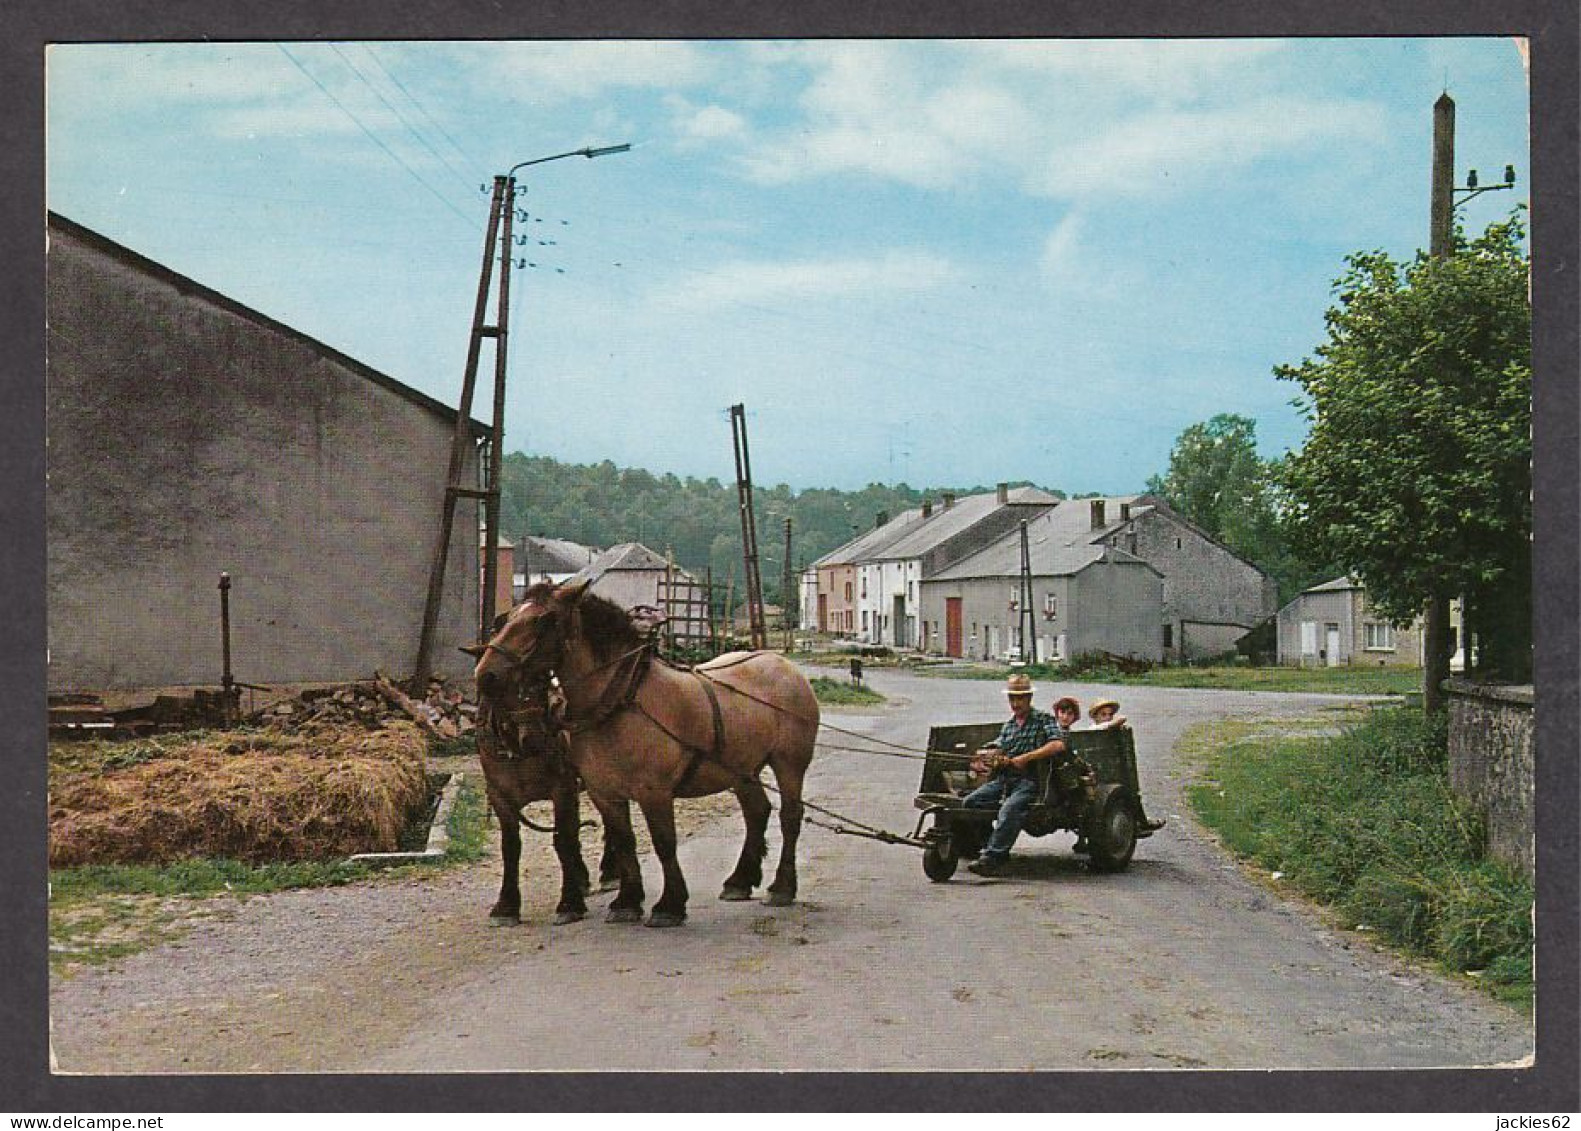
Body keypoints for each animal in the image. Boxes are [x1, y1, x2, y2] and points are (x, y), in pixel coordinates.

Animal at [474, 585, 822, 930]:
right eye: (504, 619)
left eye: (543, 621)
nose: (485, 674)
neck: (619, 702)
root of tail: (783, 665)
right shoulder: (604, 793)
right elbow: (624, 840)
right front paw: (627, 902)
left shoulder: (654, 792)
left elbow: (664, 843)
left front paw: (669, 905)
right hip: (742, 770)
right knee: (756, 812)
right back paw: (739, 881)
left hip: (789, 764)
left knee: (789, 817)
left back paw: (782, 887)